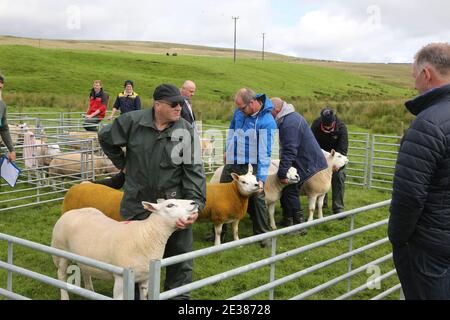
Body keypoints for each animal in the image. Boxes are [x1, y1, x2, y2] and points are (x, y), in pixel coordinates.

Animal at [51, 200, 197, 300]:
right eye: (170, 205)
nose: (193, 202)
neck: (146, 234)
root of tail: (71, 211)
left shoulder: (145, 278)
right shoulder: (121, 279)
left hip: (85, 255)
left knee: (85, 270)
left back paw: (90, 291)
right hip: (61, 251)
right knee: (61, 275)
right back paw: (65, 296)